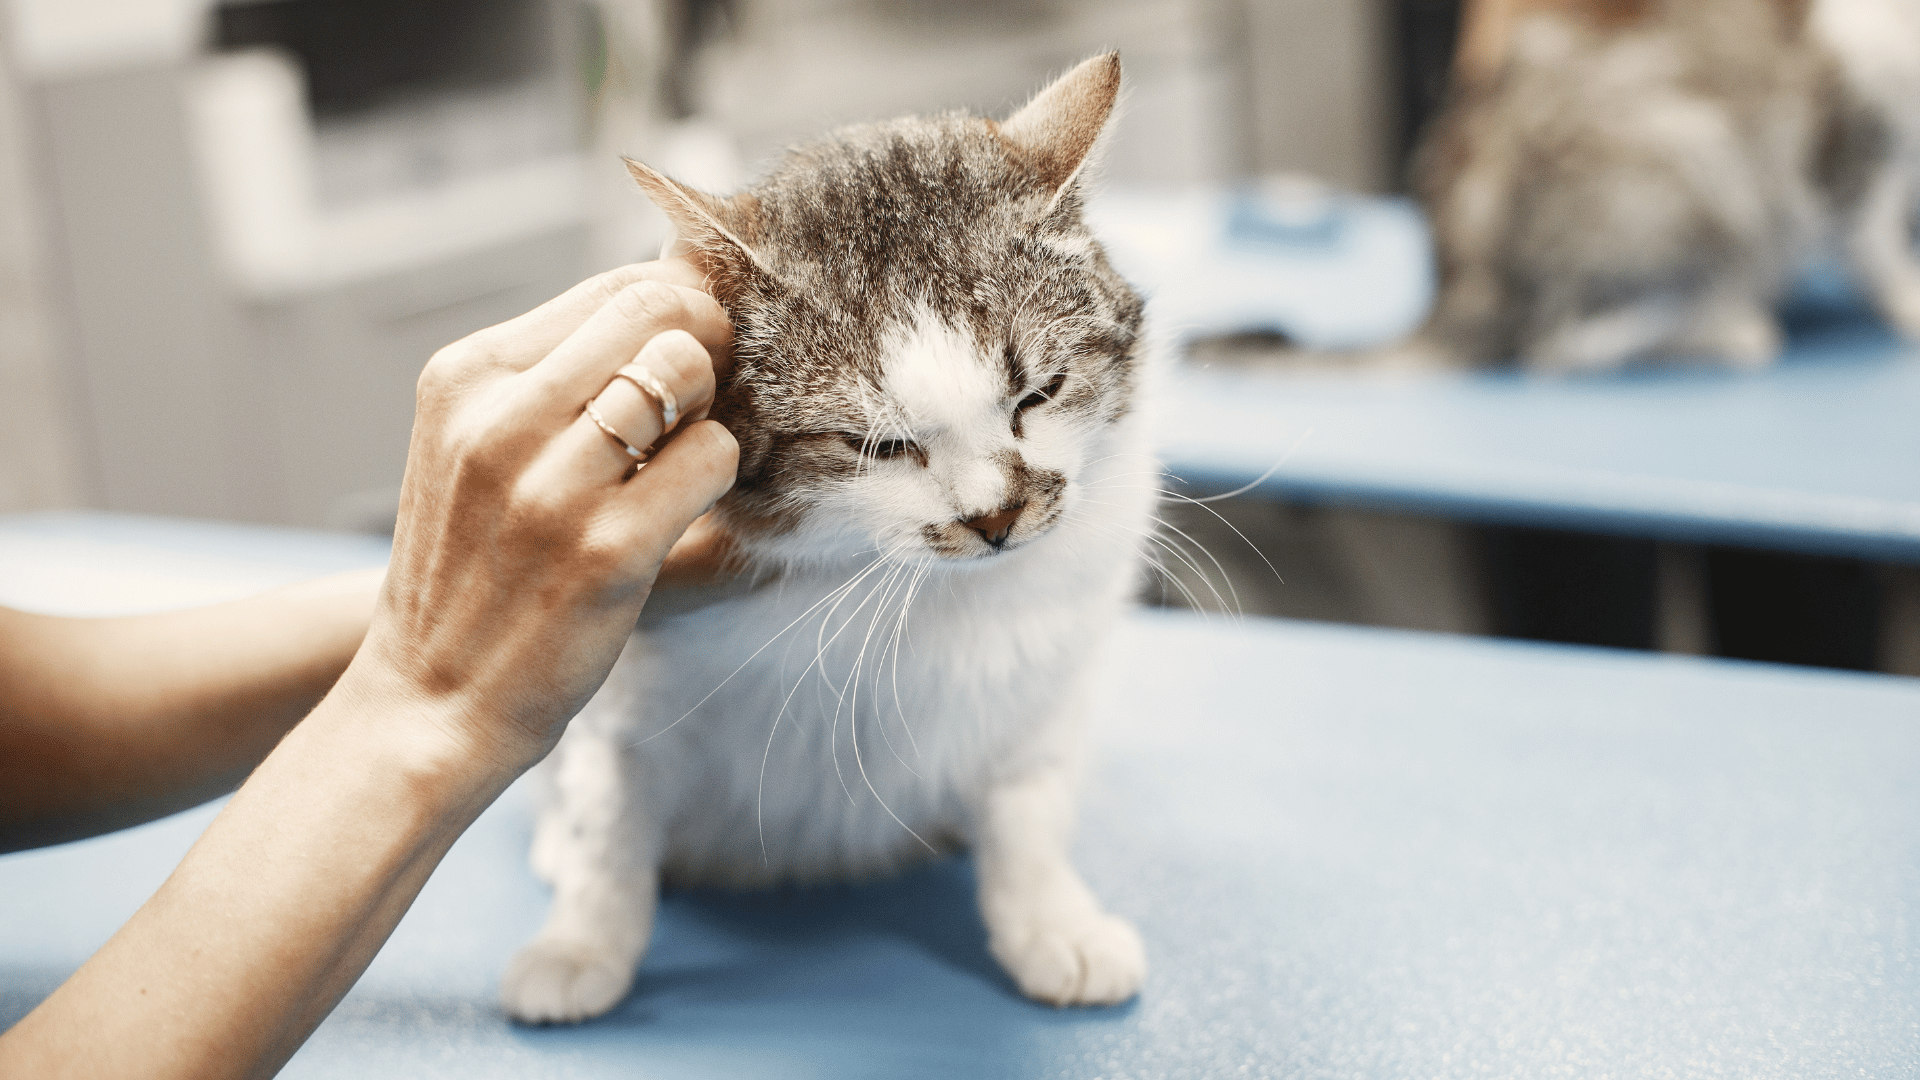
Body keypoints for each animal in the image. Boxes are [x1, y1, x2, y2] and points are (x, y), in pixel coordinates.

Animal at [499, 54, 1152, 1022]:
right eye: (880, 446)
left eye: (1039, 394)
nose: (996, 517)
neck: (893, 586)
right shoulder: (623, 687)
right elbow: (610, 816)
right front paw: (582, 941)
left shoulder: (1040, 685)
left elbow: (1028, 804)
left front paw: (1052, 923)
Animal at [1390, 0, 1920, 374]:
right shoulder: (1846, 144)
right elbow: (1877, 245)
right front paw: (1910, 298)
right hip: (1696, 154)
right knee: (1562, 346)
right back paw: (1730, 327)